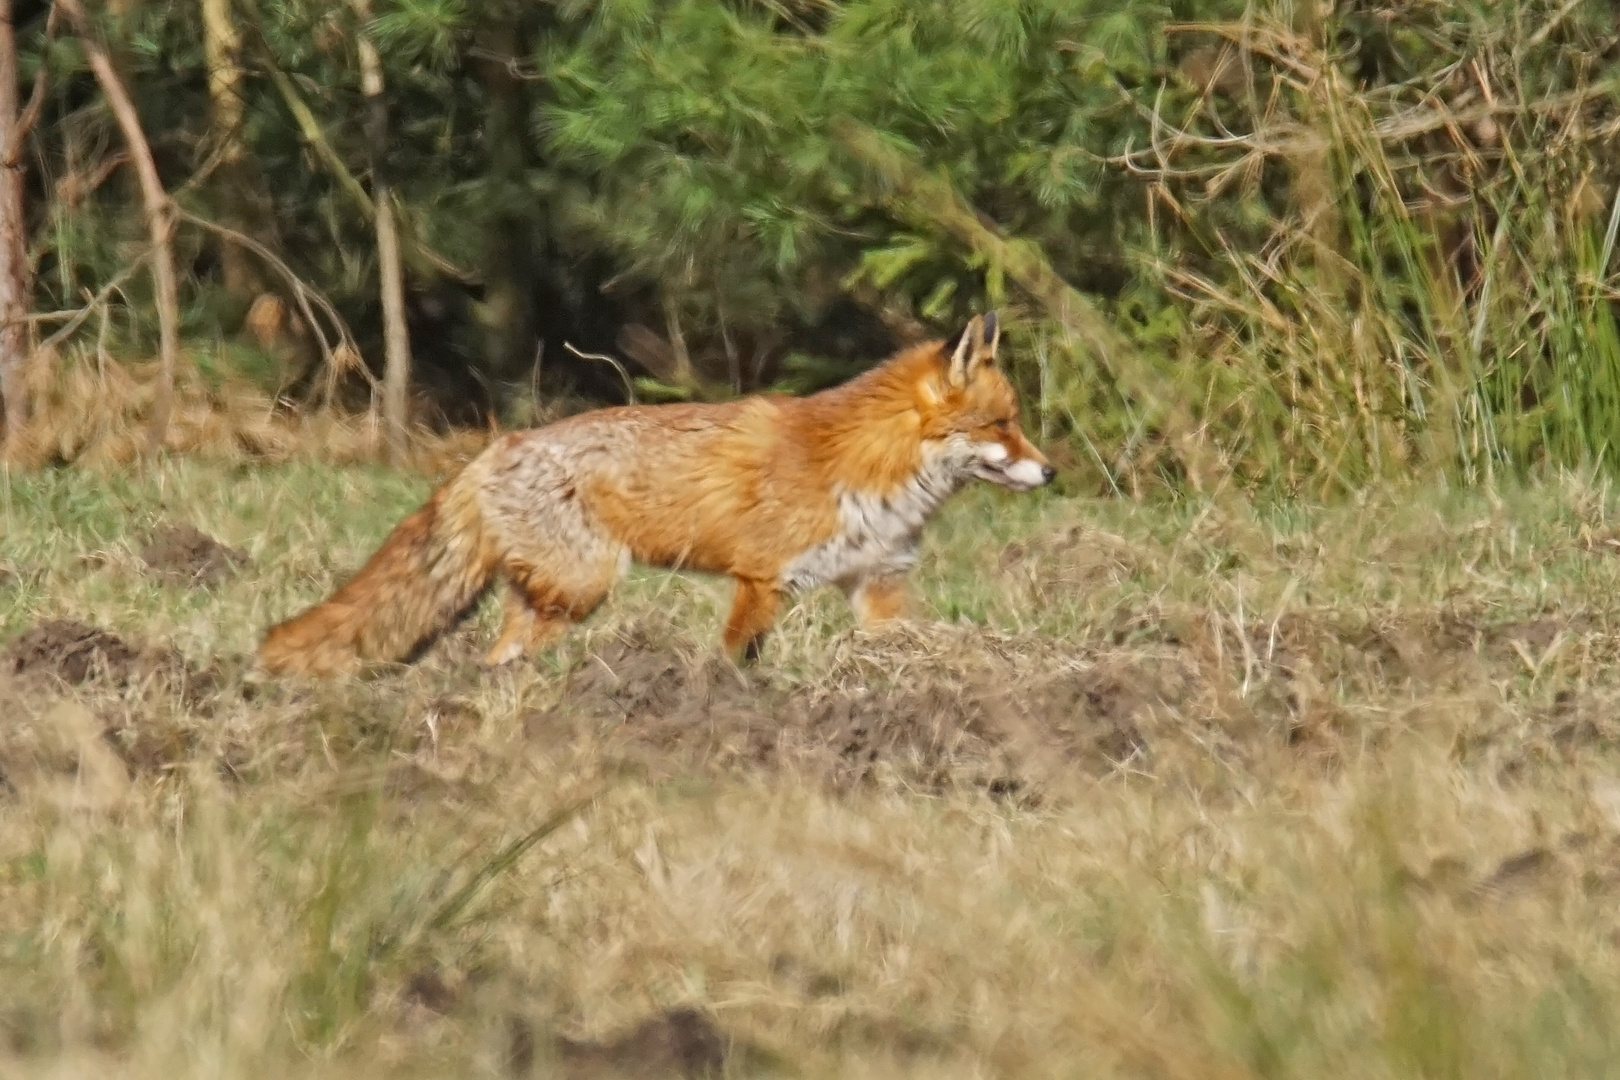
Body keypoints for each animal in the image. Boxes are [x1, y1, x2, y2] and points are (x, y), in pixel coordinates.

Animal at [259, 307, 1056, 676]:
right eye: (1003, 424)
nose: (1051, 472)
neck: (867, 472)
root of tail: (491, 451)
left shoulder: (879, 584)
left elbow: (898, 641)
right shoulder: (762, 580)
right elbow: (736, 657)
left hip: (551, 596)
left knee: (498, 657)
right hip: (583, 588)